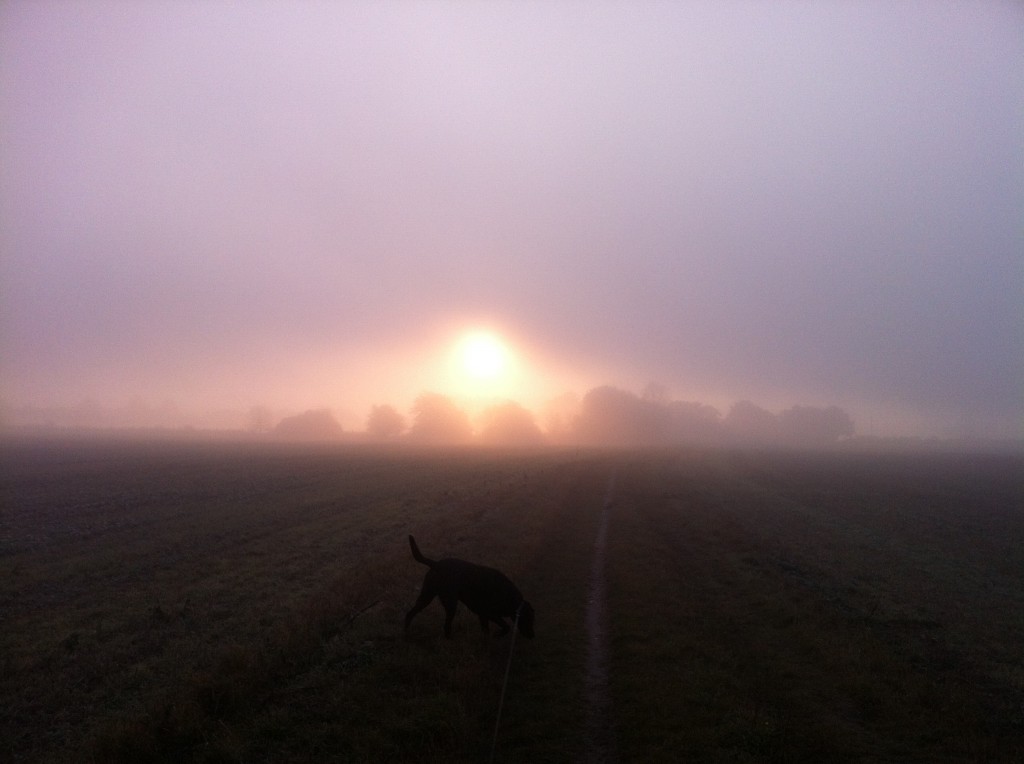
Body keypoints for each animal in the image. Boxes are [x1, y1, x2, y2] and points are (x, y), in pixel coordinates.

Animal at [403, 536, 536, 634]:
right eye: (528, 619)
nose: (532, 636)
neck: (511, 599)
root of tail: (436, 564)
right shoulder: (488, 613)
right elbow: (506, 627)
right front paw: (498, 635)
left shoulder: (483, 616)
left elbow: (488, 631)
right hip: (450, 603)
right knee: (446, 626)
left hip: (426, 596)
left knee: (410, 614)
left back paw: (406, 633)